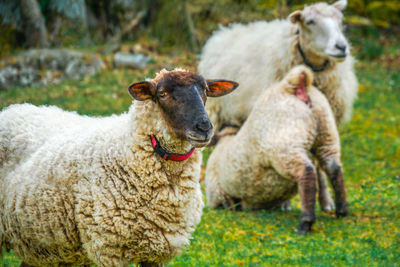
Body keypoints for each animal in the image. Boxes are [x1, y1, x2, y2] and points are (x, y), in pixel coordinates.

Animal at [0, 69, 238, 267]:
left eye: (205, 90)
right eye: (162, 94)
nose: (204, 127)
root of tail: (15, 108)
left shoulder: (157, 251)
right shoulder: (109, 249)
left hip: (42, 245)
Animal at [205, 66, 348, 233]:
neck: (226, 139)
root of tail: (295, 86)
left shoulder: (216, 191)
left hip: (285, 145)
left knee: (306, 171)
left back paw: (306, 222)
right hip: (326, 134)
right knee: (333, 168)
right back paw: (341, 211)